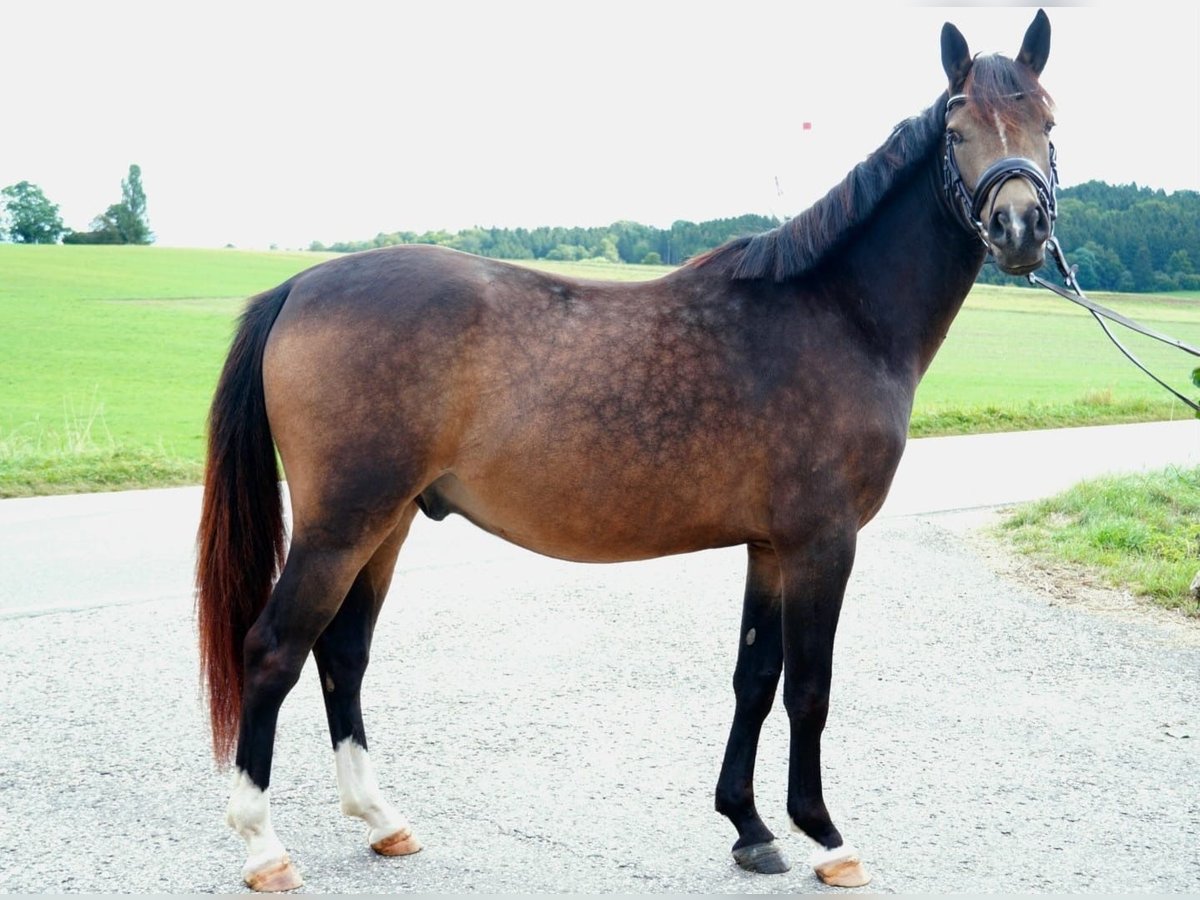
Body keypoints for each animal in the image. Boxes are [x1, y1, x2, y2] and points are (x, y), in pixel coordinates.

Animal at [196, 8, 1060, 897]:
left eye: (1048, 121)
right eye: (956, 129)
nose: (1020, 227)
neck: (837, 313)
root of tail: (298, 287)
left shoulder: (769, 547)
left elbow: (756, 680)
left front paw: (750, 828)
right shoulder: (823, 543)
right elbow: (809, 690)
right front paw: (825, 836)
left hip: (387, 521)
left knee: (342, 651)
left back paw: (382, 820)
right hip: (341, 524)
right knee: (273, 651)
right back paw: (264, 846)